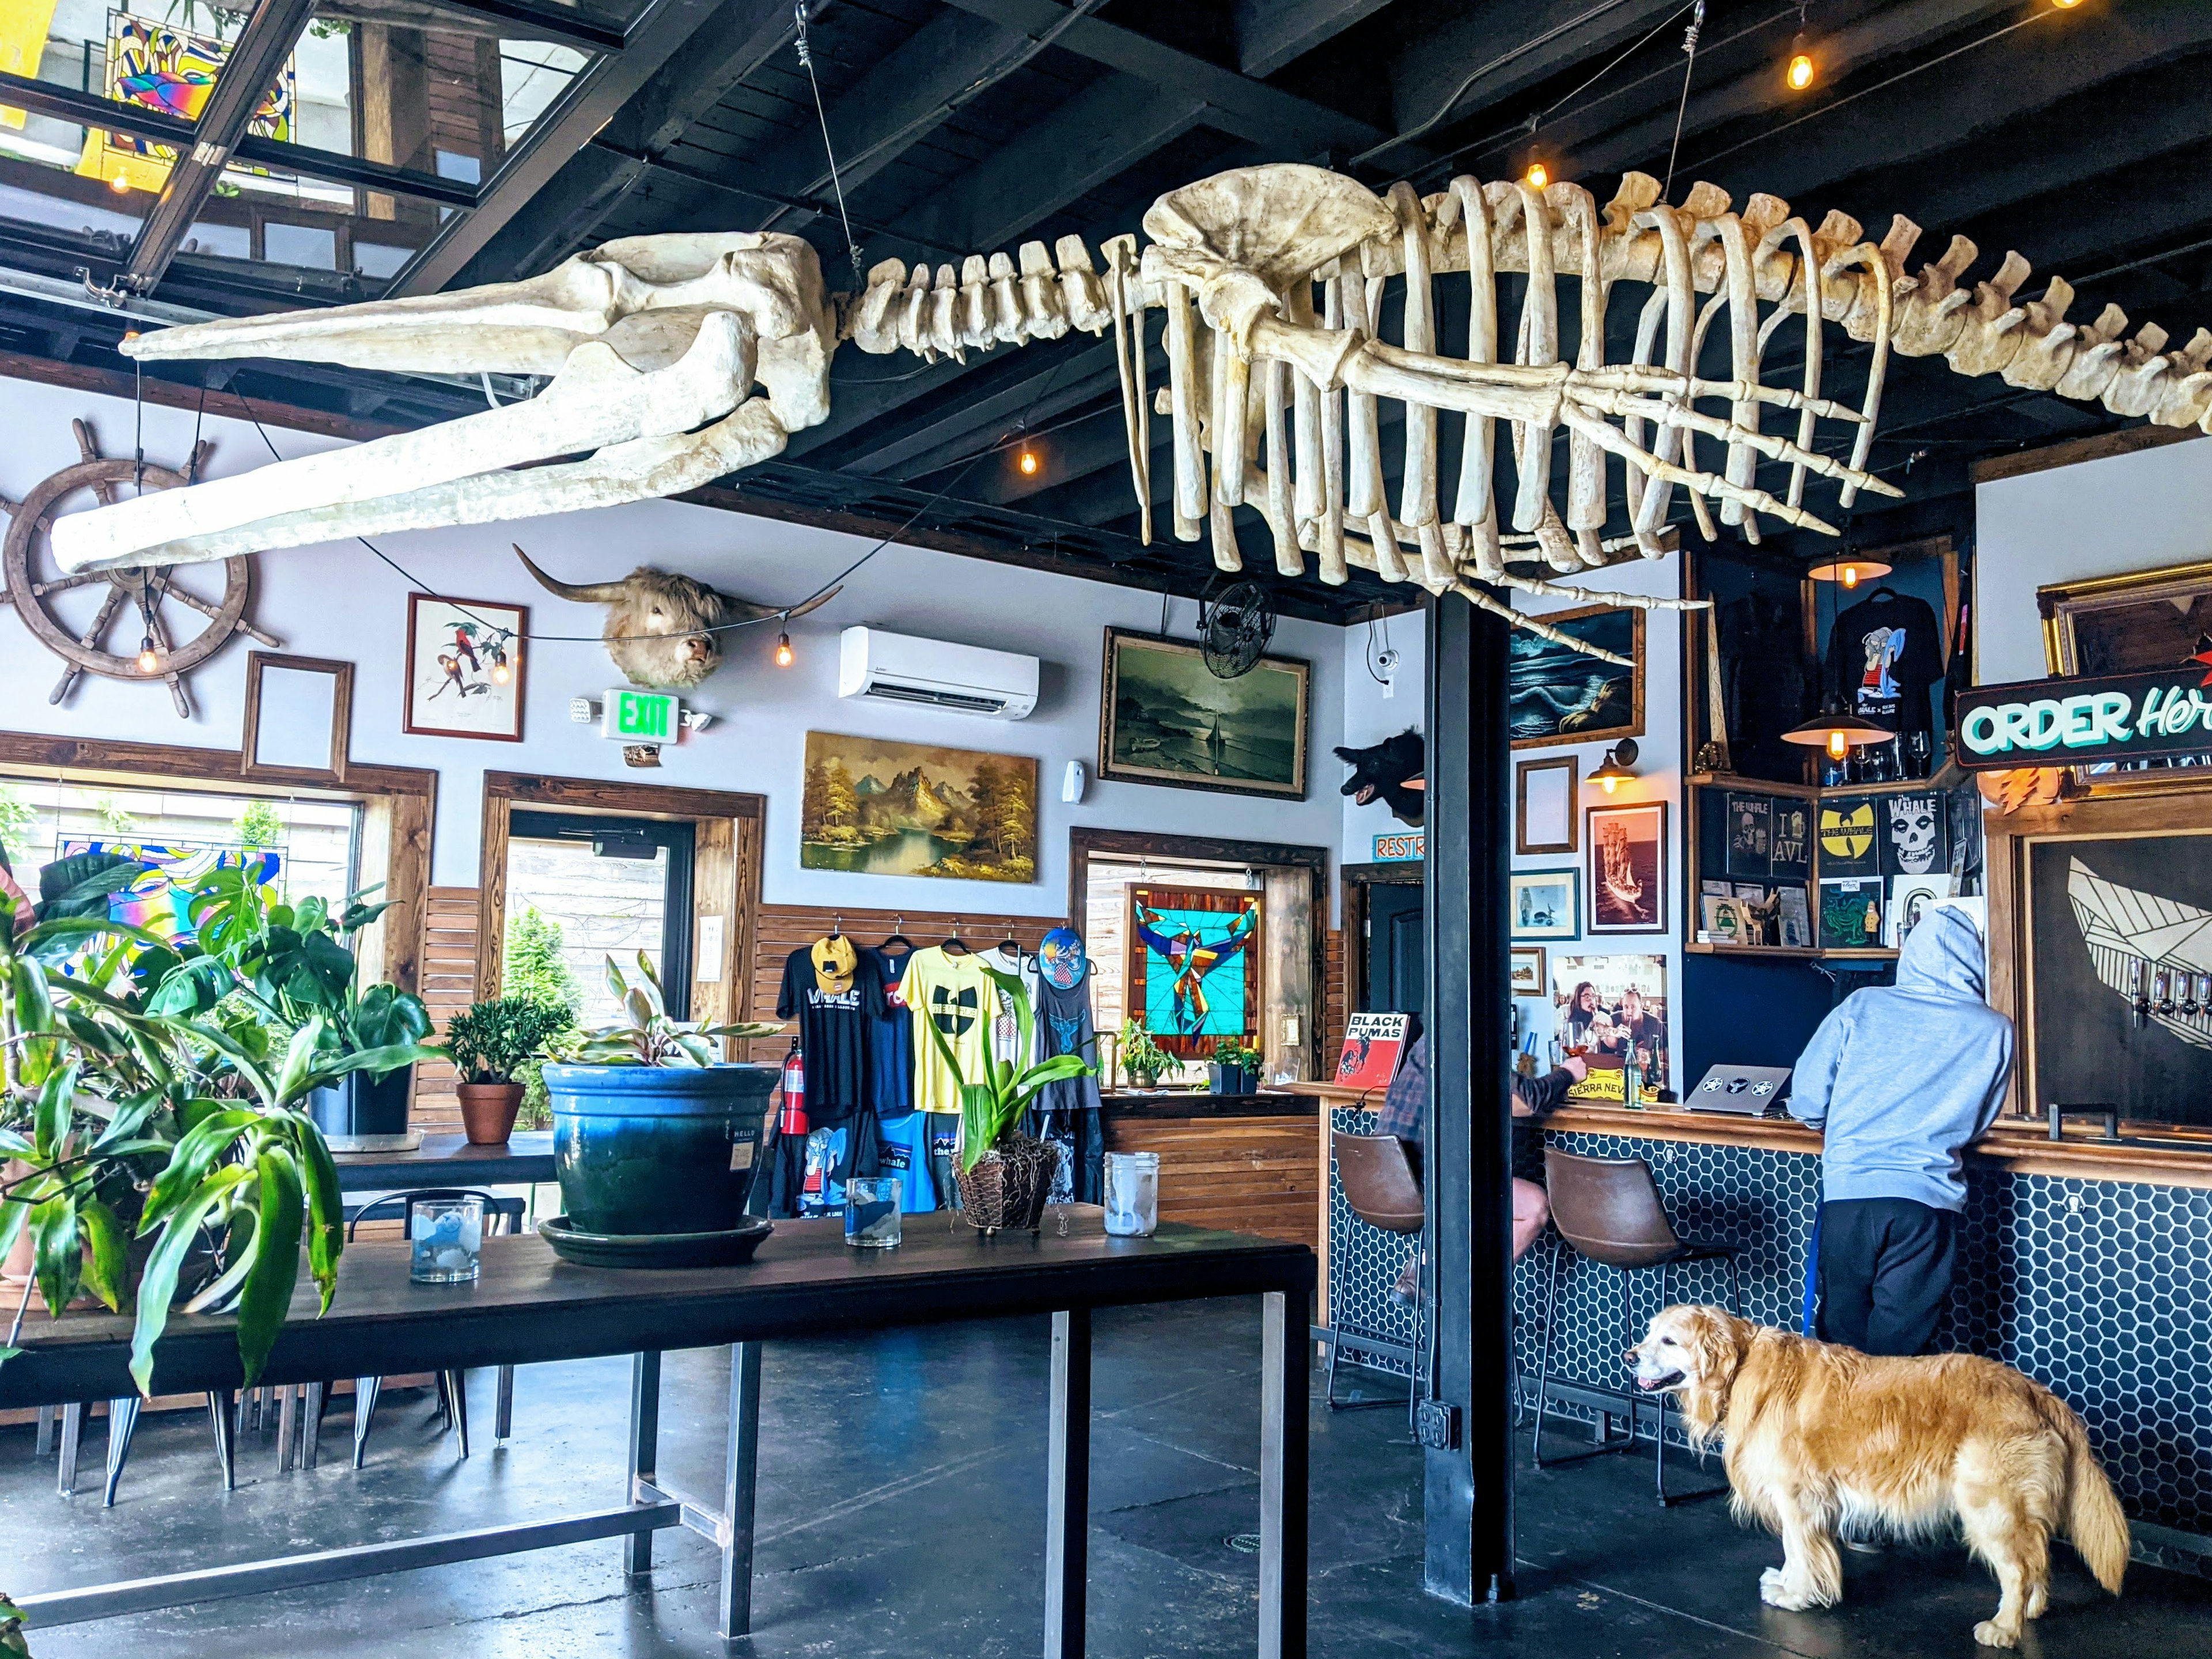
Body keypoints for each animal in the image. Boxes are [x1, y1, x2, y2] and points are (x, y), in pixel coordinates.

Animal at [1628, 1309, 2123, 1654]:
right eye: (1649, 1332)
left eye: (1669, 1340)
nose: (1629, 1356)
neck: (1741, 1366)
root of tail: (2035, 1391)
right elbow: (1795, 1551)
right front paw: (1787, 1582)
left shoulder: (1797, 1497)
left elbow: (1800, 1550)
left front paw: (1796, 1594)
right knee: (2036, 1559)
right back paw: (2031, 1609)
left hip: (1989, 1505)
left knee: (2019, 1569)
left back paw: (2004, 1627)